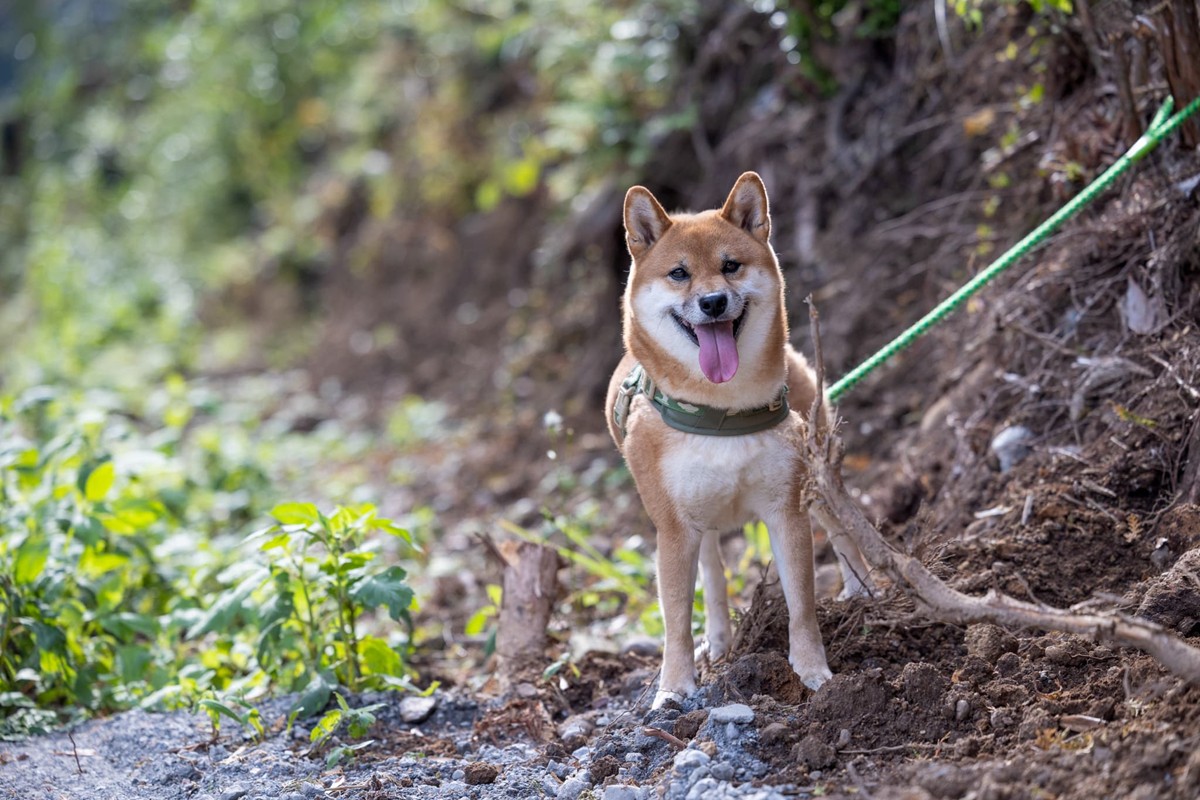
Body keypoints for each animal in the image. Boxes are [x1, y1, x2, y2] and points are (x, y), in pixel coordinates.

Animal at [604, 170, 868, 705]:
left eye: (730, 266)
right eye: (679, 273)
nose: (713, 302)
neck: (720, 411)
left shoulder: (785, 511)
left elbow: (802, 605)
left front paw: (813, 671)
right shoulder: (674, 530)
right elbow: (676, 621)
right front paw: (674, 688)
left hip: (818, 478)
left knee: (843, 530)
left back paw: (864, 594)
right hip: (695, 525)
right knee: (714, 577)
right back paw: (722, 641)